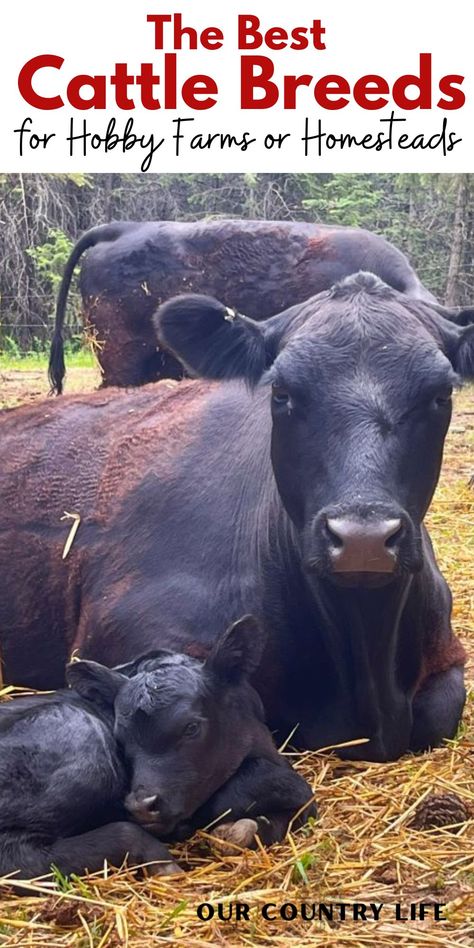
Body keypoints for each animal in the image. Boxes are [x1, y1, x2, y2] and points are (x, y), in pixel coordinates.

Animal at [0, 620, 318, 884]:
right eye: (120, 737)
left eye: (191, 727)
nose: (141, 805)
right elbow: (297, 788)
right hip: (83, 740)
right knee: (17, 857)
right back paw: (157, 858)